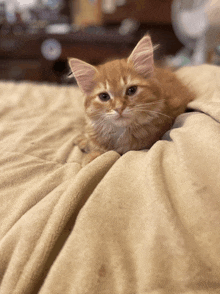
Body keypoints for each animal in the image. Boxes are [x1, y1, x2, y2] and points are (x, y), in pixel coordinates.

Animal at [68, 35, 194, 163]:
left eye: (132, 90)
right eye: (104, 96)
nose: (119, 108)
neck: (120, 133)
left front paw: (91, 156)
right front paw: (85, 141)